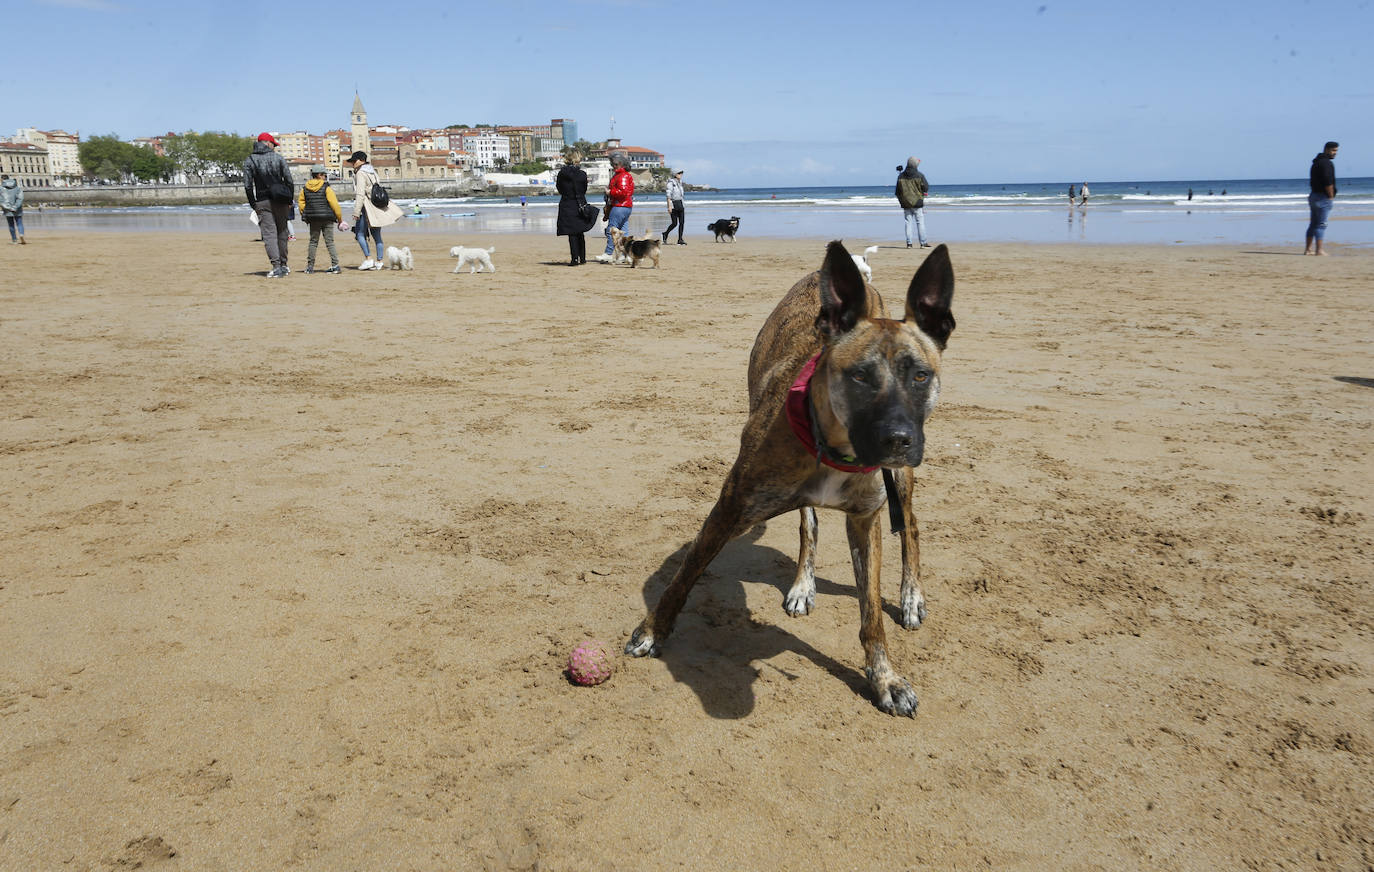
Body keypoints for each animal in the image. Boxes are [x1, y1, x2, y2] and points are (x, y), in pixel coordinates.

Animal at [626, 238, 956, 714]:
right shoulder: (729, 508)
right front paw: (652, 631)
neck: (834, 448)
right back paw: (803, 584)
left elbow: (872, 614)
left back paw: (911, 596)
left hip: (901, 485)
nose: (898, 440)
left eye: (920, 375)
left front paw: (885, 678)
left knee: (910, 528)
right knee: (809, 524)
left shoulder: (866, 521)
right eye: (859, 376)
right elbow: (685, 574)